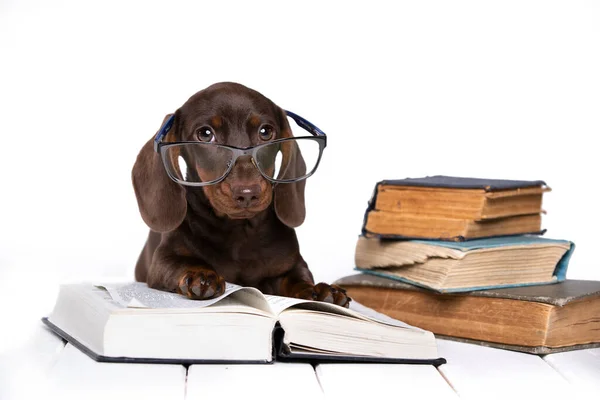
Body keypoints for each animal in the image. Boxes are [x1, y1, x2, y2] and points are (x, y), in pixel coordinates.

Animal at [129, 80, 350, 306]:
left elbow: (296, 278)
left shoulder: (291, 265)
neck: (238, 231)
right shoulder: (162, 260)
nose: (247, 193)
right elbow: (181, 263)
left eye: (265, 132)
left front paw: (318, 290)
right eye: (205, 134)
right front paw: (201, 274)